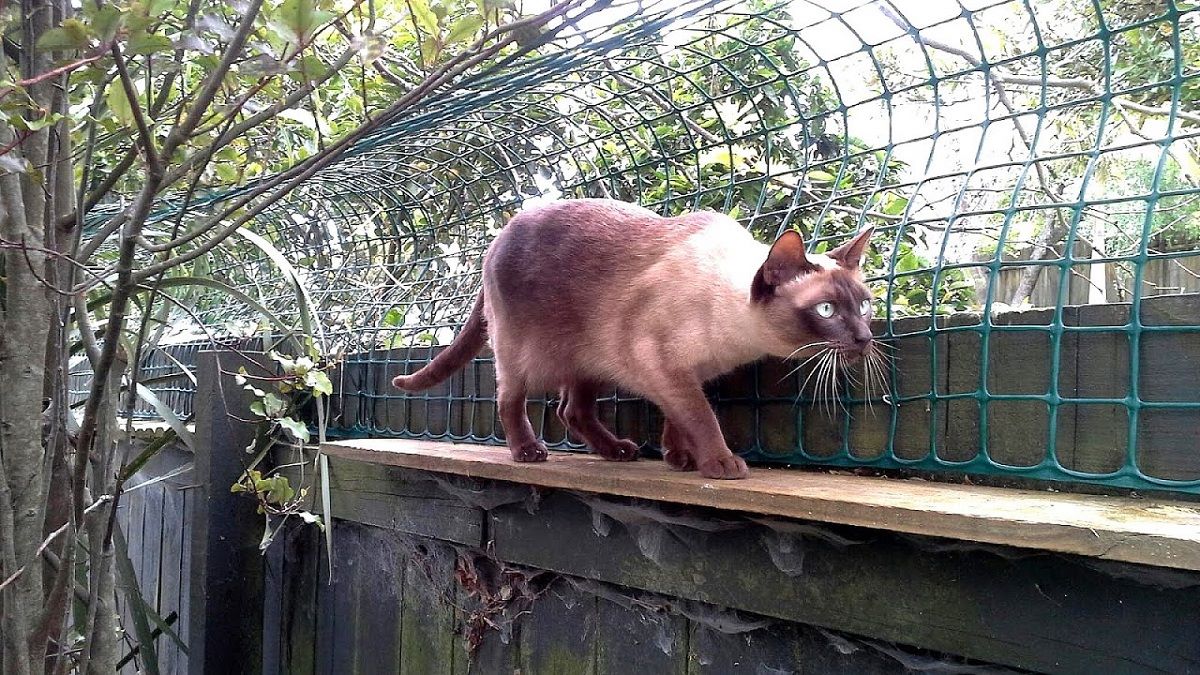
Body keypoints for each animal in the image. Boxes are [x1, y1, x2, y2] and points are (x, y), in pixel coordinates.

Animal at [398, 198, 878, 478]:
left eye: (865, 306)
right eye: (827, 311)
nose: (865, 338)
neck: (738, 337)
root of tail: (496, 239)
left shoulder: (688, 373)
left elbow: (677, 420)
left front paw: (678, 459)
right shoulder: (663, 364)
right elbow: (700, 418)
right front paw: (719, 464)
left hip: (589, 361)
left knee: (571, 410)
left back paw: (616, 451)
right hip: (523, 355)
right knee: (509, 400)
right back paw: (528, 452)